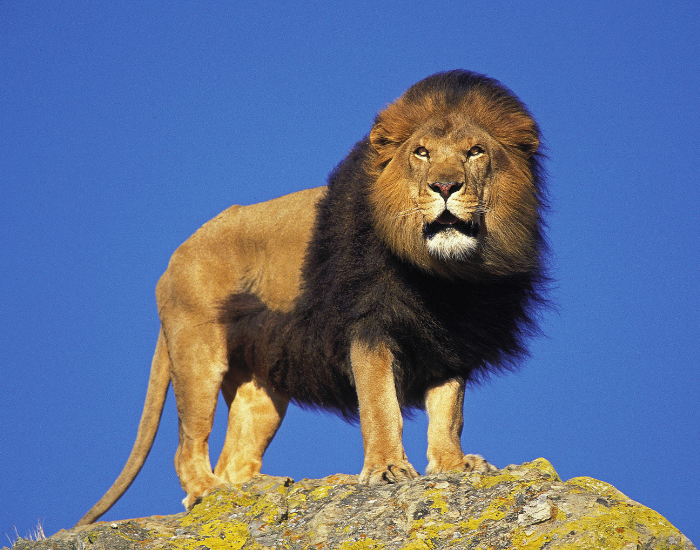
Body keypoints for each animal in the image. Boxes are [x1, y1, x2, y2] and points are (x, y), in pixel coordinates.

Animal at [76, 70, 547, 526]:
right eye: (421, 153)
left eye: (475, 152)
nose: (445, 186)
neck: (444, 276)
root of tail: (174, 259)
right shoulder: (369, 325)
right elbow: (380, 405)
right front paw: (386, 470)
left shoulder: (452, 342)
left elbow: (449, 412)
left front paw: (453, 466)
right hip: (198, 351)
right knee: (187, 444)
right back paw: (208, 492)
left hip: (261, 384)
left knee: (236, 457)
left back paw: (251, 493)